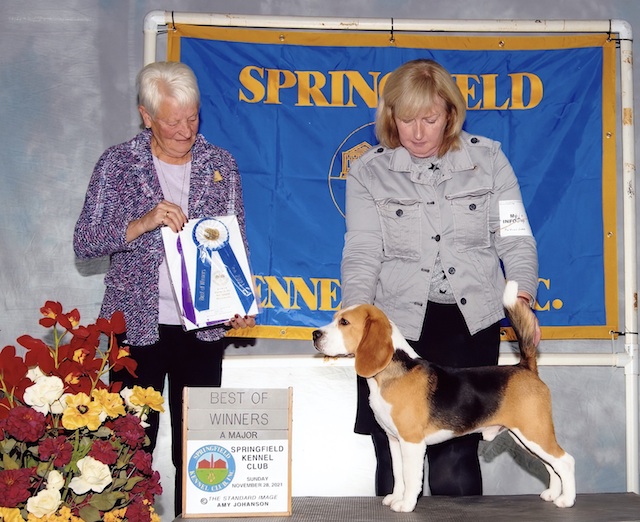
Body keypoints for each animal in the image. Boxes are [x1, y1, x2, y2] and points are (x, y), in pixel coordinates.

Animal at [312, 282, 576, 510]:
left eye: (344, 322)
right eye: (335, 318)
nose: (315, 334)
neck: (391, 373)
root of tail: (525, 366)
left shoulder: (412, 442)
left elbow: (411, 477)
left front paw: (406, 505)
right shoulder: (394, 440)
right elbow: (398, 474)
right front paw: (395, 498)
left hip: (534, 432)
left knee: (565, 461)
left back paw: (567, 500)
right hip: (526, 437)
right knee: (552, 466)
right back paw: (553, 494)